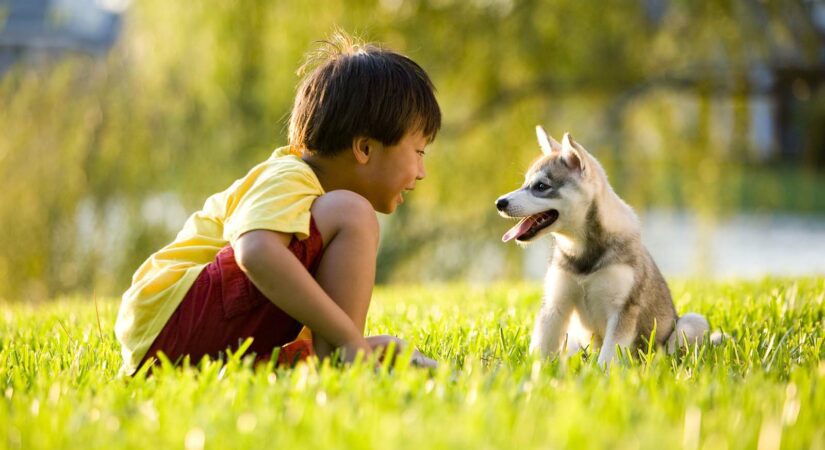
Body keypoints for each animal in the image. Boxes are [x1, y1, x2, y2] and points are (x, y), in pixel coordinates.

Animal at [496, 125, 708, 366]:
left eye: (541, 186)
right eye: (524, 184)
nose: (500, 203)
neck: (582, 251)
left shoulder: (622, 311)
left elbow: (608, 356)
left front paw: (602, 373)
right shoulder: (555, 305)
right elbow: (540, 347)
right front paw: (532, 370)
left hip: (692, 323)